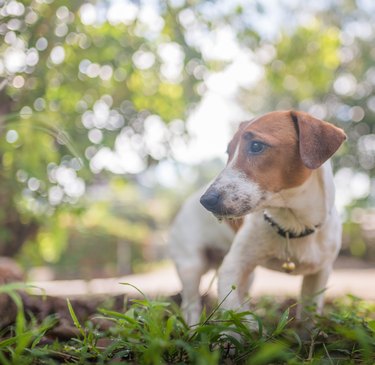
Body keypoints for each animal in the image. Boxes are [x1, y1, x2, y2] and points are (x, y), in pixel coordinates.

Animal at [170, 109, 346, 326]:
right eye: (229, 152)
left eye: (256, 146)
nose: (206, 201)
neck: (293, 224)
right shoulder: (231, 267)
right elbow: (231, 315)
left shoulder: (319, 274)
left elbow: (308, 318)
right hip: (191, 266)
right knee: (191, 305)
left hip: (248, 275)